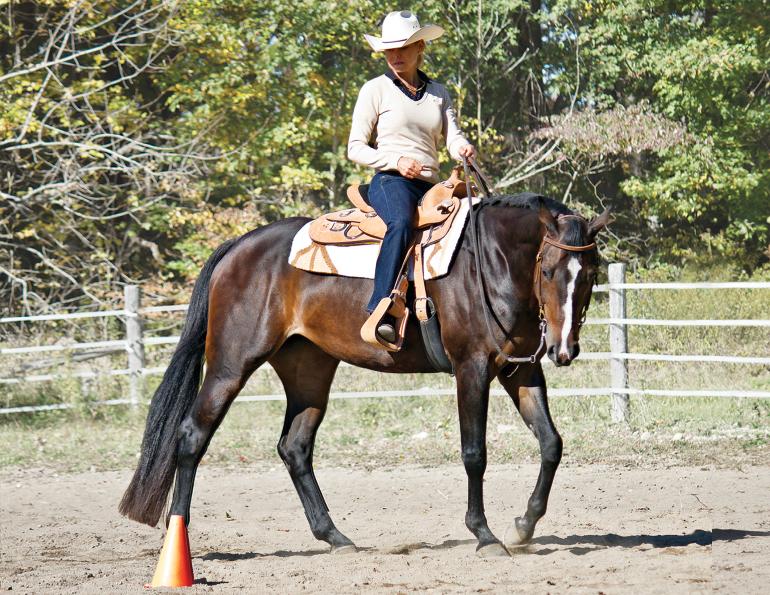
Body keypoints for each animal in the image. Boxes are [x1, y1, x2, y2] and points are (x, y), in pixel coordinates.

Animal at [119, 192, 610, 556]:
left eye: (590, 273)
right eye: (549, 270)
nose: (564, 350)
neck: (489, 262)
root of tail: (239, 248)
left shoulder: (517, 370)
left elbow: (551, 443)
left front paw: (524, 526)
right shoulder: (470, 369)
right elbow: (475, 454)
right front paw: (485, 535)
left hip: (309, 370)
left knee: (294, 448)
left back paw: (335, 537)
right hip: (230, 364)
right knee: (192, 436)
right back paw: (178, 538)